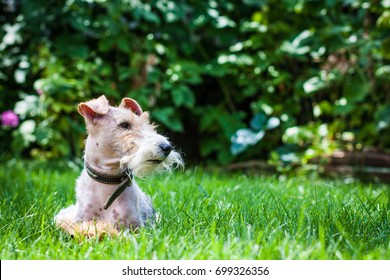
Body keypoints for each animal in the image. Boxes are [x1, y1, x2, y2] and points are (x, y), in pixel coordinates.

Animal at [54, 95, 184, 238]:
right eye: (124, 124)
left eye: (147, 123)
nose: (167, 147)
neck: (108, 180)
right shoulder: (81, 220)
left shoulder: (136, 228)